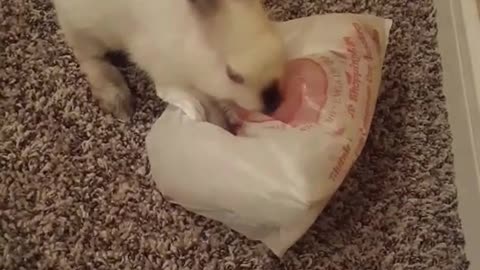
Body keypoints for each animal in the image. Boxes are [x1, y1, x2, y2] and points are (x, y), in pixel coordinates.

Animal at [52, 0, 284, 120]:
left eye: (279, 46)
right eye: (233, 75)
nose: (273, 105)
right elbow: (209, 104)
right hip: (87, 31)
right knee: (89, 58)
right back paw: (117, 102)